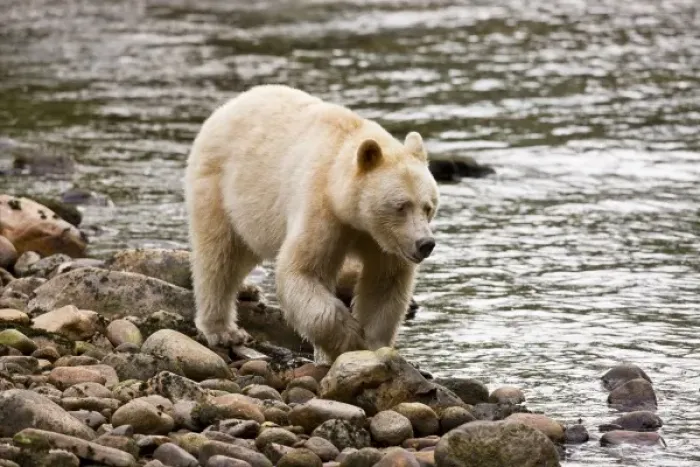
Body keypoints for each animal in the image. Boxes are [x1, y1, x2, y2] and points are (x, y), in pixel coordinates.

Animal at [184, 85, 440, 362]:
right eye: (401, 206)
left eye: (428, 207)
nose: (425, 243)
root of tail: (226, 107)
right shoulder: (322, 208)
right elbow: (302, 271)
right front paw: (349, 339)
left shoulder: (383, 240)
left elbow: (385, 283)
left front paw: (372, 345)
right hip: (220, 187)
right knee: (220, 256)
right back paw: (223, 330)